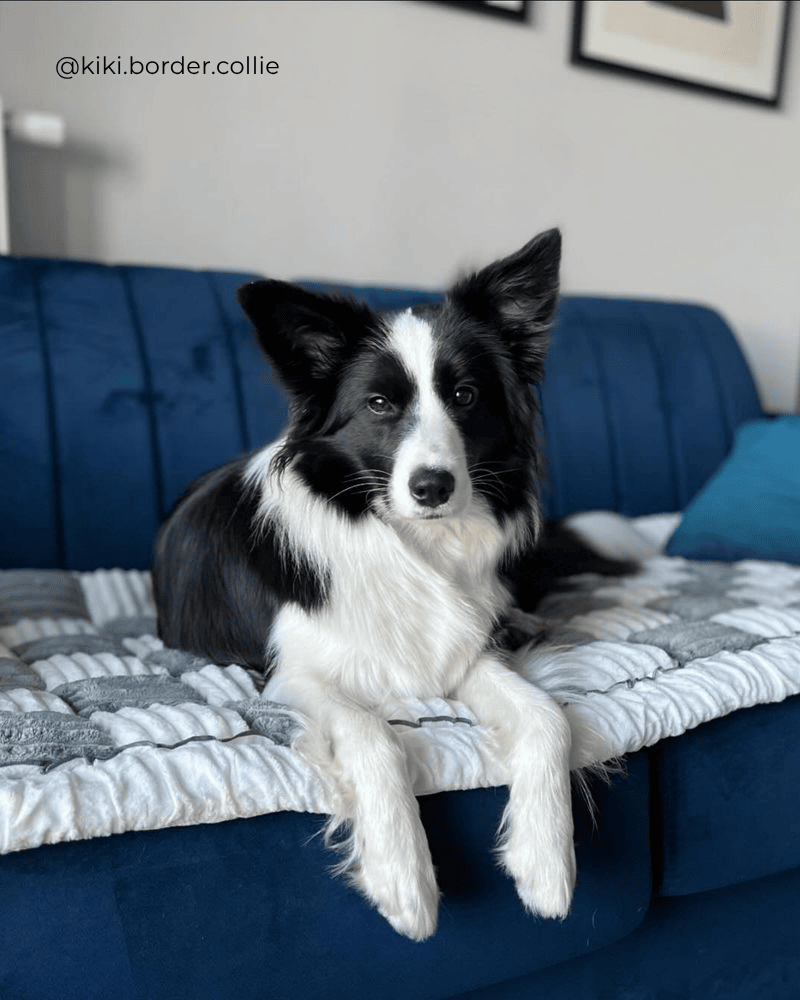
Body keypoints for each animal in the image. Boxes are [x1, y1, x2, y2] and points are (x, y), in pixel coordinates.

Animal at [153, 229, 622, 941]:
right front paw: (404, 879)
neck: (411, 543)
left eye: (465, 396)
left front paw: (545, 863)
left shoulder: (463, 652)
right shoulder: (292, 674)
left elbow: (547, 718)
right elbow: (374, 736)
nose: (433, 488)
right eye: (379, 404)